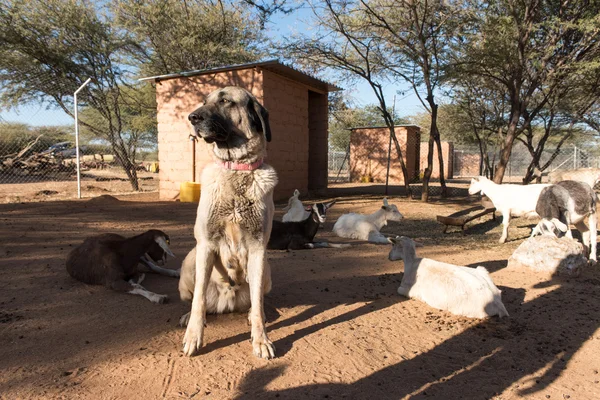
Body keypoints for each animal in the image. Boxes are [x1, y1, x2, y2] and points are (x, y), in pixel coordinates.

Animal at [182, 85, 278, 360]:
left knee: (257, 301)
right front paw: (193, 336)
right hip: (190, 259)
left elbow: (258, 304)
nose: (192, 117)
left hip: (267, 268)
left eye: (226, 101)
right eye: (204, 101)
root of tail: (227, 301)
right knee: (198, 298)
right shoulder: (205, 244)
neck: (236, 170)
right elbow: (198, 300)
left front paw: (261, 339)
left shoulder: (258, 249)